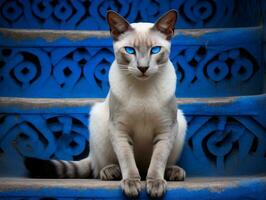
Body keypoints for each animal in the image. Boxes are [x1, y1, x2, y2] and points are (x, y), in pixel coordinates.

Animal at [25, 9, 187, 198]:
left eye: (155, 50)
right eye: (130, 50)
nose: (143, 68)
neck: (143, 89)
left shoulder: (166, 129)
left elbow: (157, 162)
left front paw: (155, 184)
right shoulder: (119, 129)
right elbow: (127, 161)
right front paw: (131, 183)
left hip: (180, 123)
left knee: (152, 166)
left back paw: (173, 172)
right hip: (99, 121)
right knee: (100, 168)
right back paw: (111, 171)